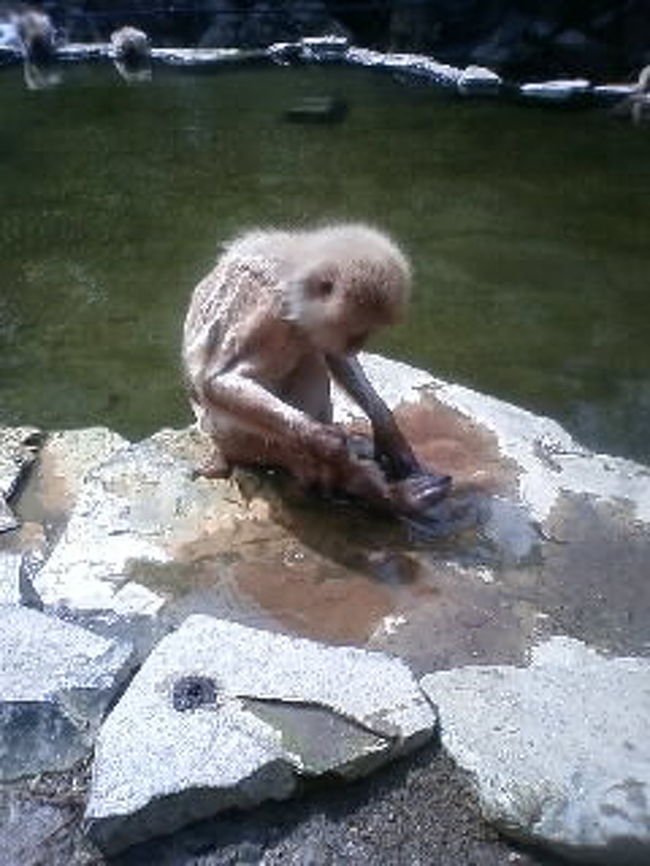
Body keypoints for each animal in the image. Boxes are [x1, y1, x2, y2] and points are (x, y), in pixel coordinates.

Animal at [180, 226, 448, 516]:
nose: (358, 344)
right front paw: (333, 446)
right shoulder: (267, 313)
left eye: (365, 333)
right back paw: (381, 494)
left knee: (310, 356)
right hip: (236, 439)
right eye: (357, 332)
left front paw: (388, 431)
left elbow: (333, 355)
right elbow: (215, 382)